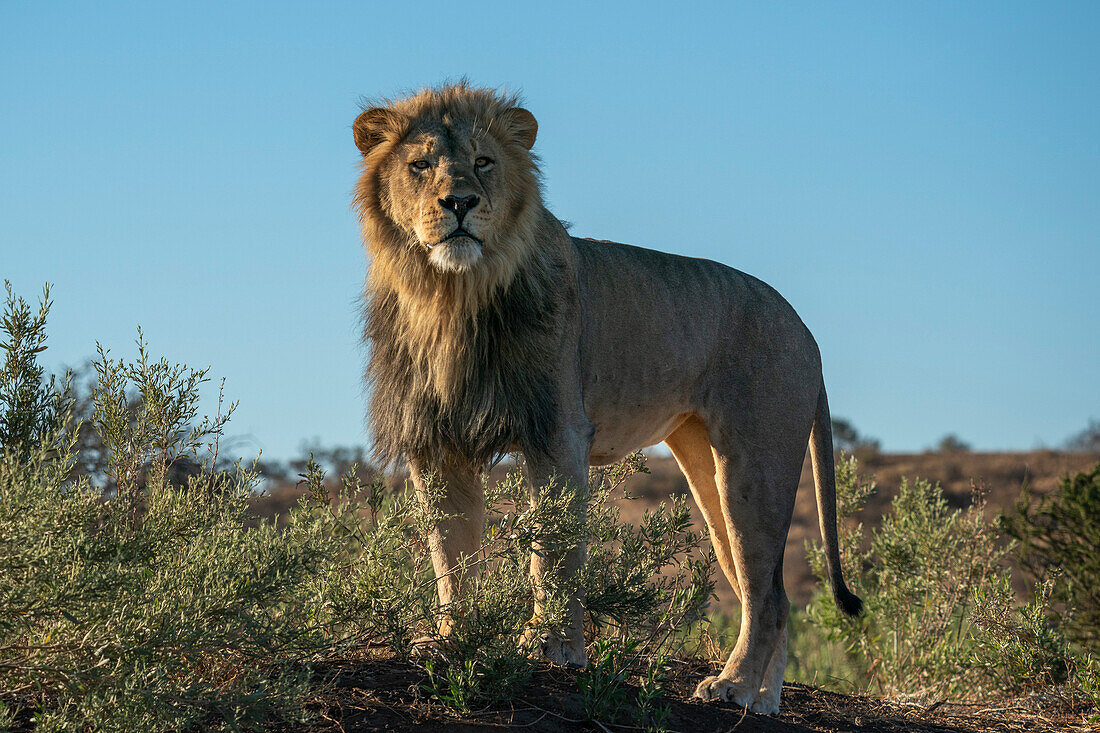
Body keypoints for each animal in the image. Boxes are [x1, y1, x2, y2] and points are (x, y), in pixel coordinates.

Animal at [349, 82, 858, 708]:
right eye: (420, 166)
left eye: (483, 161)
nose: (460, 203)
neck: (452, 296)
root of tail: (804, 329)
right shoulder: (437, 443)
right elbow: (450, 555)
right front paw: (451, 641)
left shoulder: (556, 431)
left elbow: (555, 550)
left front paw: (551, 648)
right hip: (706, 466)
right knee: (774, 594)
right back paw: (762, 702)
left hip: (755, 464)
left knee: (765, 594)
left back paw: (731, 687)